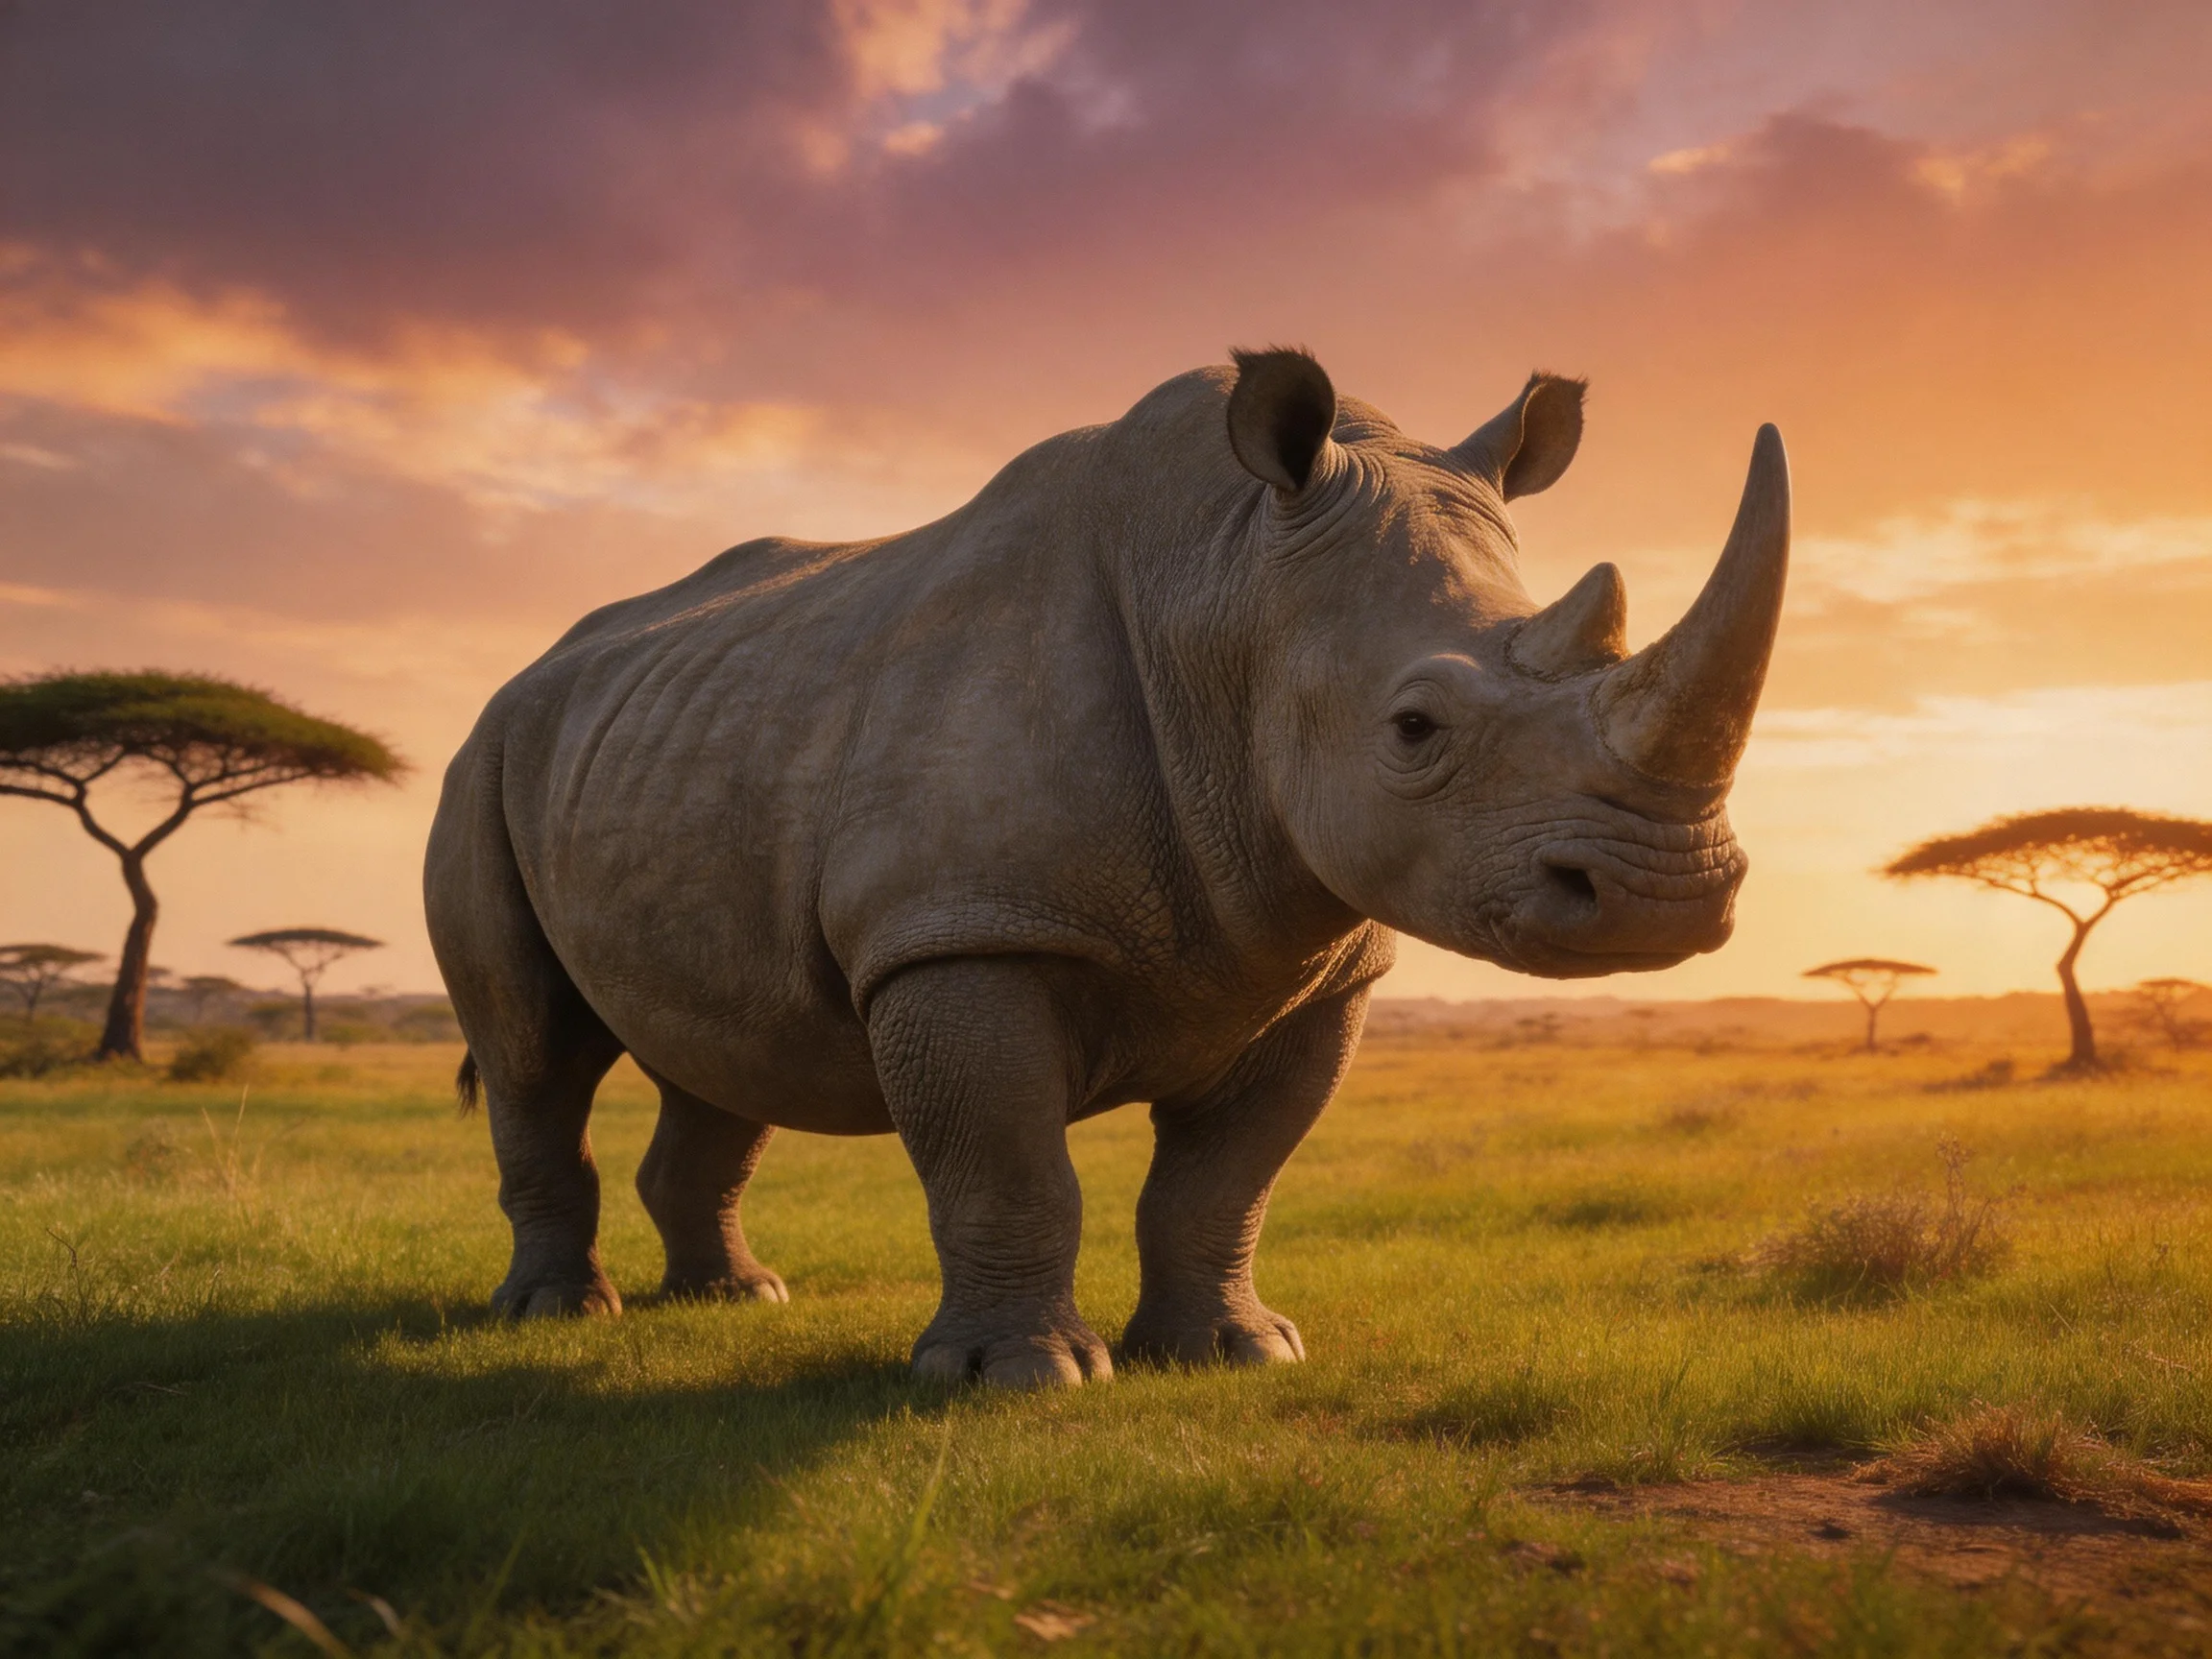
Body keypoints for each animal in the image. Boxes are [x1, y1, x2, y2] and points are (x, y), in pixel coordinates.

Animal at [425, 349, 1788, 1386]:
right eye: (1414, 730)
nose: (1668, 897)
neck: (1228, 596)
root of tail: (533, 668)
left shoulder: (1315, 965)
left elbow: (1225, 1181)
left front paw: (1238, 1355)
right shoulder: (963, 929)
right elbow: (1008, 1165)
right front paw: (1018, 1379)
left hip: (673, 743)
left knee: (724, 1048)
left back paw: (738, 1301)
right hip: (482, 758)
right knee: (535, 1046)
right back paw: (558, 1315)